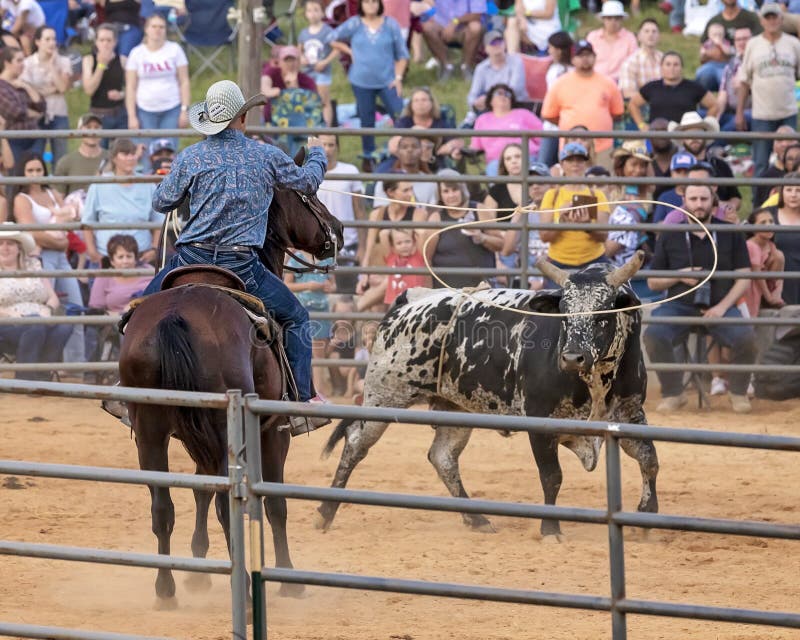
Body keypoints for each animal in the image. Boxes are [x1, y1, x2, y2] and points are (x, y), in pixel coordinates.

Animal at [119, 152, 344, 608]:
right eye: (308, 195)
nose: (339, 231)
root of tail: (176, 315)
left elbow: (200, 489)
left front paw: (198, 568)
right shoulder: (271, 433)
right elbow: (274, 505)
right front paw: (290, 579)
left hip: (151, 428)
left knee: (162, 507)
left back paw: (166, 589)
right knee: (228, 507)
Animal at [316, 252, 660, 536]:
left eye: (603, 315)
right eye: (563, 311)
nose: (572, 357)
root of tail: (410, 300)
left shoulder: (629, 412)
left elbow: (649, 459)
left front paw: (648, 514)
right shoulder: (540, 421)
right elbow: (552, 476)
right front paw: (550, 528)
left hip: (454, 408)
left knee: (442, 457)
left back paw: (476, 518)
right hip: (385, 396)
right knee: (356, 444)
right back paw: (326, 511)